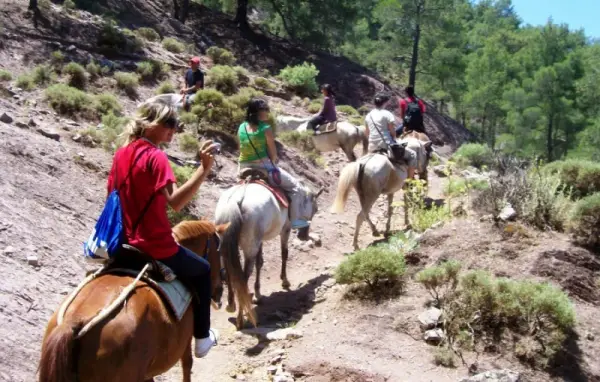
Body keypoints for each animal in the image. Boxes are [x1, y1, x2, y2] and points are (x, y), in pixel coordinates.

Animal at [213, 180, 322, 328]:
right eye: (315, 209)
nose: (303, 235)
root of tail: (236, 200)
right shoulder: (285, 229)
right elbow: (284, 253)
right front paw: (285, 280)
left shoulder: (260, 240)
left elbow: (260, 262)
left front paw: (258, 293)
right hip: (250, 247)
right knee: (243, 278)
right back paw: (240, 319)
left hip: (226, 246)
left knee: (228, 272)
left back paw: (231, 305)